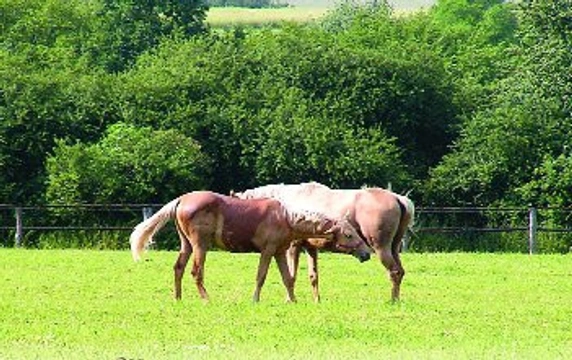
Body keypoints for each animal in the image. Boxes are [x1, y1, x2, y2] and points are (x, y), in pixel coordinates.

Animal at [128, 190, 370, 302]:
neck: (286, 218)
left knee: (178, 268)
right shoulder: (268, 251)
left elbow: (287, 278)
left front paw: (293, 300)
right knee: (196, 272)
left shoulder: (280, 253)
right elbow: (261, 276)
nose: (366, 253)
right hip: (200, 246)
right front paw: (255, 299)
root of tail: (181, 199)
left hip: (186, 245)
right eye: (348, 234)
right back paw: (206, 299)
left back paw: (178, 298)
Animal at [235, 181, 414, 302]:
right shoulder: (310, 247)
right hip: (394, 247)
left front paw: (289, 299)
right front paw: (317, 300)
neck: (284, 209)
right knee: (400, 271)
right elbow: (313, 276)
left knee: (394, 272)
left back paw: (393, 300)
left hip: (381, 247)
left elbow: (291, 275)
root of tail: (399, 199)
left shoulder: (293, 246)